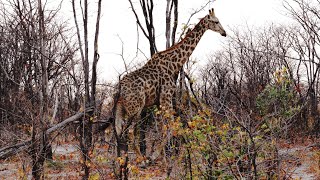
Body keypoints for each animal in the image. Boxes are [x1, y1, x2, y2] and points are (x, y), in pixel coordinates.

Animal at [114, 8, 226, 163]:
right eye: (216, 21)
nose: (224, 33)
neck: (174, 64)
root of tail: (120, 88)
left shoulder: (160, 101)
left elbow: (165, 127)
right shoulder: (166, 97)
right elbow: (171, 126)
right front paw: (155, 155)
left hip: (122, 108)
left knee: (120, 131)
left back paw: (124, 160)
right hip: (136, 108)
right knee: (129, 131)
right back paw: (141, 159)